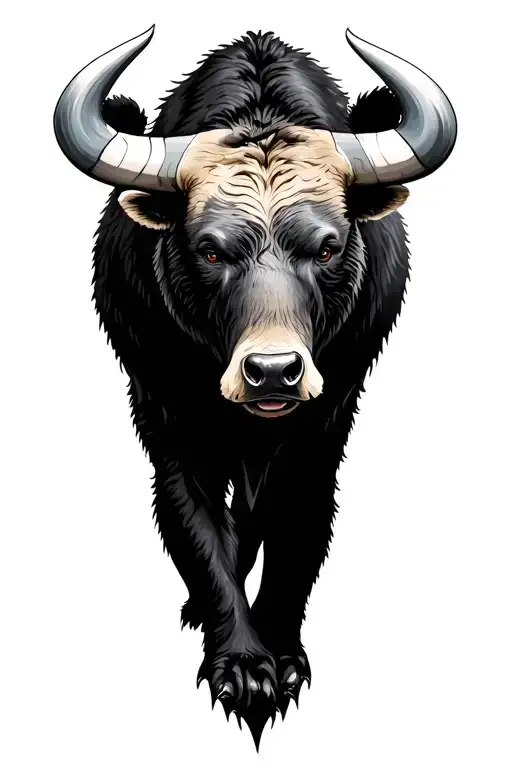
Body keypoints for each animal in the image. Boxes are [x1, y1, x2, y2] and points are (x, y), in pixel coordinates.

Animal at [53, 26, 457, 748]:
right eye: (209, 250)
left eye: (327, 246)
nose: (272, 371)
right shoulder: (166, 418)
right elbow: (197, 532)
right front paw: (243, 667)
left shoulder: (328, 418)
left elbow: (296, 526)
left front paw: (280, 655)